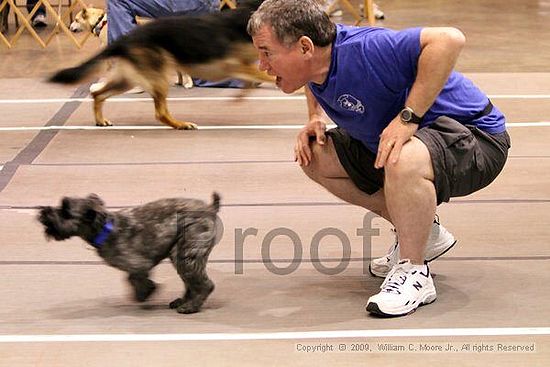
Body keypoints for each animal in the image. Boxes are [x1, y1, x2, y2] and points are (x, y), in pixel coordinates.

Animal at [37, 191, 222, 314]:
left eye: (65, 211)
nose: (43, 211)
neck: (105, 229)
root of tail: (210, 209)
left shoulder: (139, 263)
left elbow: (133, 278)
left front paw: (145, 292)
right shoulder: (138, 266)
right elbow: (131, 278)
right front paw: (146, 291)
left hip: (187, 256)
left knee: (205, 285)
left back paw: (191, 306)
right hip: (179, 254)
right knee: (191, 284)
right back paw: (182, 301)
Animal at [51, 0, 272, 129]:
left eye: (76, 19)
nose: (71, 26)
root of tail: (127, 38)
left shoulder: (245, 66)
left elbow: (255, 80)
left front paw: (241, 95)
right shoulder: (237, 65)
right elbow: (265, 76)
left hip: (127, 80)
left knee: (98, 95)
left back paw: (100, 120)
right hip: (156, 78)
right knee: (160, 113)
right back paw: (181, 124)